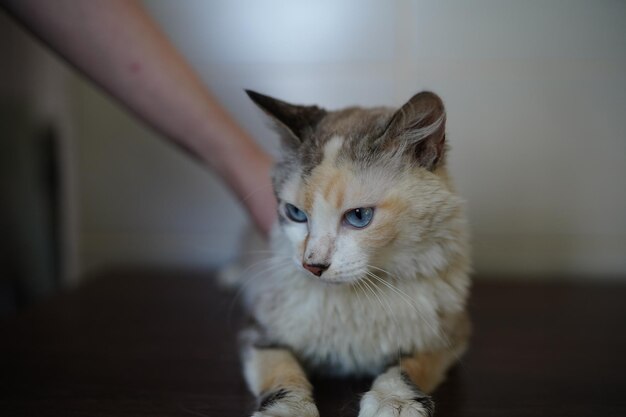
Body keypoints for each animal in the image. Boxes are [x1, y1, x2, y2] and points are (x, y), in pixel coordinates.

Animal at [227, 89, 470, 414]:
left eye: (359, 217)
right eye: (295, 214)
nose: (313, 265)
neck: (357, 298)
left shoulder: (446, 337)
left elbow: (407, 367)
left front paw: (394, 401)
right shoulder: (259, 333)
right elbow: (281, 369)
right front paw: (288, 410)